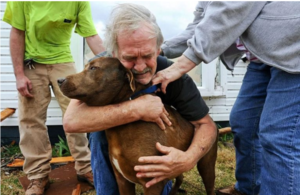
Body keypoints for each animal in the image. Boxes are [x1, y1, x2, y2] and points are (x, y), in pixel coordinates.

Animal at [58, 56, 218, 195]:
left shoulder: (152, 183)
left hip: (206, 164)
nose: (59, 80)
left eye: (93, 68)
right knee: (180, 176)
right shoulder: (123, 181)